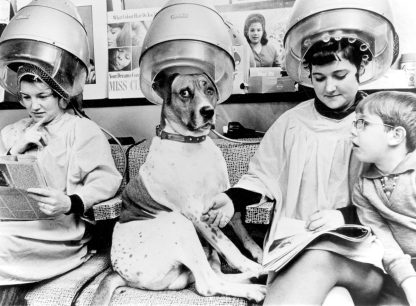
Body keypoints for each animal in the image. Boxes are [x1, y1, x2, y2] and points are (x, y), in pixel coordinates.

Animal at [92, 71, 264, 304]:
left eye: (209, 90)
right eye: (184, 93)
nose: (208, 112)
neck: (192, 143)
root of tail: (119, 273)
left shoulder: (225, 202)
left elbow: (242, 233)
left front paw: (258, 254)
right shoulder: (198, 215)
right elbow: (230, 246)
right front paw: (254, 265)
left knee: (213, 272)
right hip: (180, 224)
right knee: (207, 284)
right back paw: (257, 284)